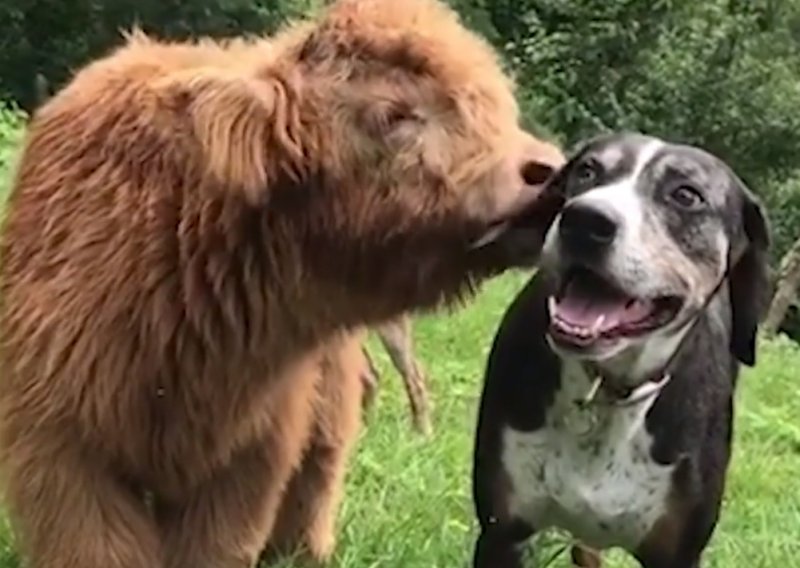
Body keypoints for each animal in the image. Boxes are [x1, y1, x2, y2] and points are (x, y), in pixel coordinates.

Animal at [472, 134, 772, 568]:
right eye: (587, 171)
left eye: (686, 194)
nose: (585, 220)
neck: (608, 386)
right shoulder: (502, 531)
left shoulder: (677, 554)